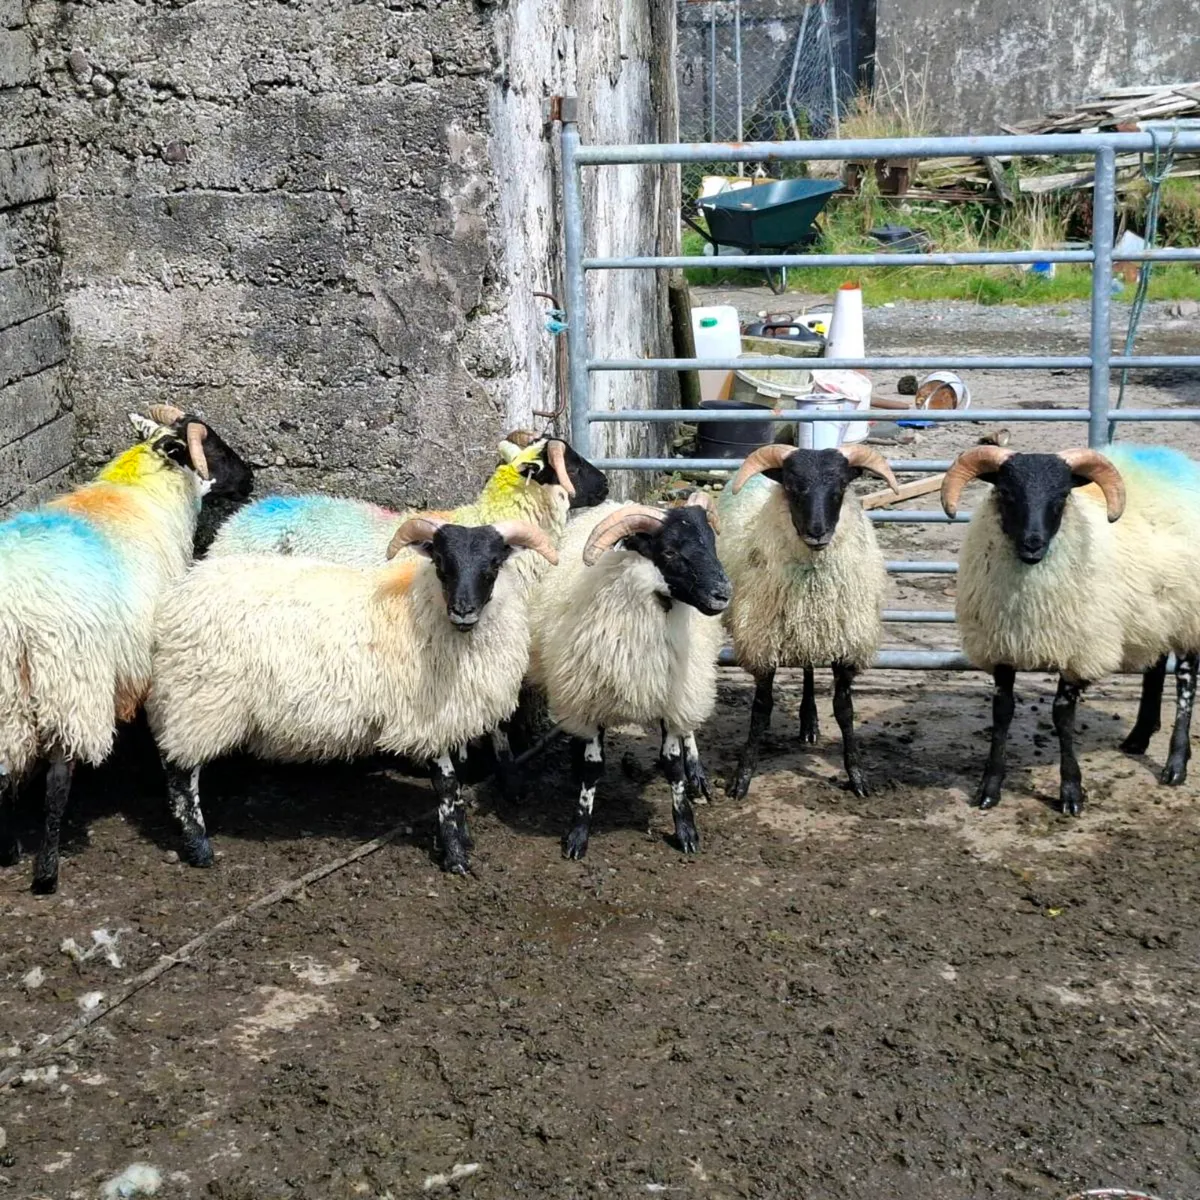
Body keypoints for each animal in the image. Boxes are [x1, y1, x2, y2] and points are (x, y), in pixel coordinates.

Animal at [0, 404, 254, 893]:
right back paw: (46, 872)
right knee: (58, 780)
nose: (250, 479)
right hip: (71, 683)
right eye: (212, 445)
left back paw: (11, 848)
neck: (142, 492)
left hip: (10, 699)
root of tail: (16, 611)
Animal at [146, 515, 559, 875]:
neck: (424, 609)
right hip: (200, 698)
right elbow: (446, 786)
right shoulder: (425, 719)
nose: (463, 611)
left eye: (494, 563)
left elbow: (457, 789)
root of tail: (179, 594)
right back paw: (199, 848)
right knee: (179, 775)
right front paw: (456, 857)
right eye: (442, 562)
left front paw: (463, 838)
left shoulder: (453, 714)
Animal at [527, 492, 731, 858]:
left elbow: (672, 763)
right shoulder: (588, 697)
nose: (723, 594)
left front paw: (686, 829)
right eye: (669, 552)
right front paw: (578, 833)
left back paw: (697, 775)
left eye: (711, 543)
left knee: (690, 725)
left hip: (693, 679)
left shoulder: (672, 697)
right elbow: (593, 768)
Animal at [716, 444, 900, 801]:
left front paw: (857, 775)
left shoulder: (846, 643)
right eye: (791, 486)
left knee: (809, 667)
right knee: (807, 666)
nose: (817, 531)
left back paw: (809, 722)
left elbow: (844, 710)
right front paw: (742, 778)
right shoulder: (762, 642)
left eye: (840, 487)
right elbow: (760, 711)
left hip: (815, 630)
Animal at [941, 443, 1200, 814]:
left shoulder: (1078, 650)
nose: (1032, 543)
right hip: (1155, 613)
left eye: (1062, 496)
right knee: (1155, 667)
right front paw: (989, 788)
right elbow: (1002, 712)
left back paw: (1176, 764)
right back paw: (1138, 737)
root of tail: (1176, 461)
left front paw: (1071, 793)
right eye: (1006, 492)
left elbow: (1062, 715)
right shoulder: (1003, 645)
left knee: (1186, 680)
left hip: (1188, 612)